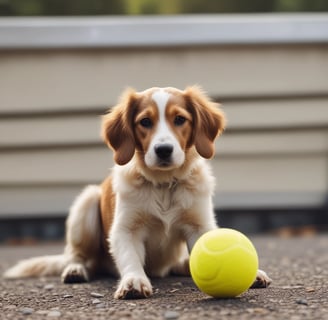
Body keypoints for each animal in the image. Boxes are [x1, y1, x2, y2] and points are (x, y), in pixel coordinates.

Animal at [3, 86, 270, 298]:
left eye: (180, 119)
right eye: (145, 122)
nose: (163, 150)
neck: (163, 185)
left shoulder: (200, 225)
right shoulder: (124, 230)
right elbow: (130, 256)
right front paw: (133, 281)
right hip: (86, 205)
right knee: (77, 255)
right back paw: (76, 269)